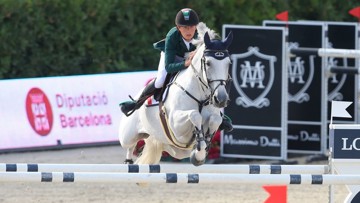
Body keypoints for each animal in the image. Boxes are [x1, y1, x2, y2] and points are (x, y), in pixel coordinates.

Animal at [119, 22, 233, 166]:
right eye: (208, 63)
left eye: (229, 63)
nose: (221, 99)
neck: (200, 95)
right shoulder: (175, 124)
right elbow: (195, 115)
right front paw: (199, 154)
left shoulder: (213, 117)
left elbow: (215, 120)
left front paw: (201, 150)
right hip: (127, 136)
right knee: (129, 145)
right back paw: (128, 160)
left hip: (175, 150)